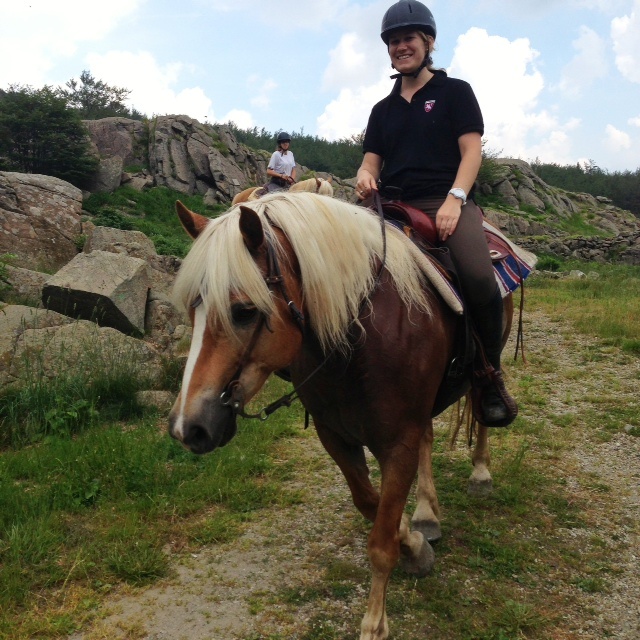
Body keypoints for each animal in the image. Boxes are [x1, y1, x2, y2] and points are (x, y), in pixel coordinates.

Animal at [169, 191, 514, 640]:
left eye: (244, 310)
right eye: (193, 308)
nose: (188, 427)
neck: (358, 339)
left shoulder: (397, 443)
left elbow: (381, 542)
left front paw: (374, 623)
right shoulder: (335, 436)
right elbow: (370, 505)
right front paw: (414, 545)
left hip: (486, 362)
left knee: (481, 407)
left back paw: (480, 473)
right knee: (428, 438)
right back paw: (426, 514)